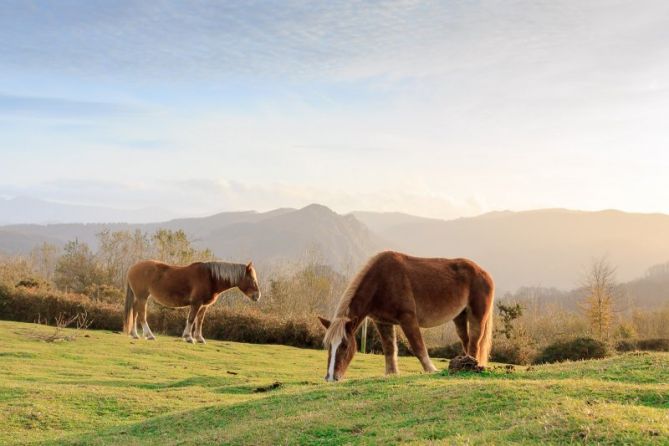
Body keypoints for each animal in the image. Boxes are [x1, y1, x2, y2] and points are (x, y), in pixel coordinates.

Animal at [124, 260, 260, 344]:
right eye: (252, 280)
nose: (257, 296)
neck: (210, 277)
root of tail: (132, 268)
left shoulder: (204, 306)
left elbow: (199, 321)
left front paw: (199, 338)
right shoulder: (196, 303)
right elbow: (191, 319)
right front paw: (189, 337)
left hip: (139, 297)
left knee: (135, 311)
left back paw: (135, 334)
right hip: (142, 297)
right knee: (141, 314)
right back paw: (149, 335)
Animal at [318, 253, 496, 382]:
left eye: (345, 346)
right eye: (328, 345)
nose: (331, 378)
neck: (381, 280)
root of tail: (485, 273)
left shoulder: (408, 318)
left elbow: (418, 346)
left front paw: (431, 370)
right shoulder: (382, 322)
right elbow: (390, 349)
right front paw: (391, 373)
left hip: (477, 316)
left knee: (474, 342)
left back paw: (472, 366)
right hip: (459, 316)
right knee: (466, 340)